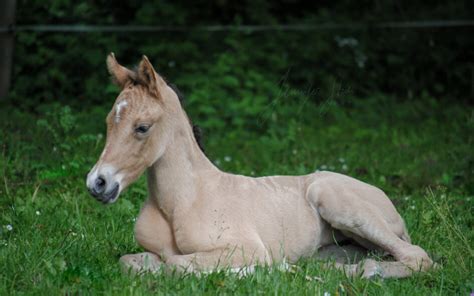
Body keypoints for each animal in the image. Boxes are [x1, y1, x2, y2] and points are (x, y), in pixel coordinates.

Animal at [87, 53, 436, 278]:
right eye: (108, 122)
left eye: (142, 127)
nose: (97, 183)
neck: (183, 199)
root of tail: (387, 201)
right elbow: (130, 262)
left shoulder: (246, 248)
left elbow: (175, 266)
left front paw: (256, 272)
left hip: (341, 205)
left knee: (417, 257)